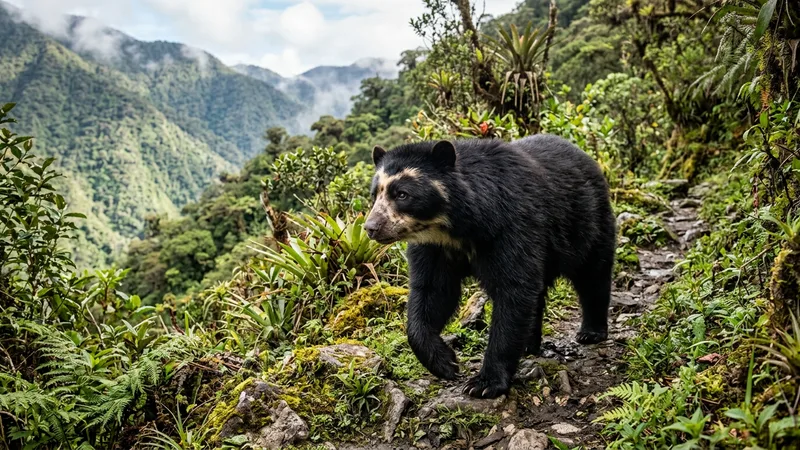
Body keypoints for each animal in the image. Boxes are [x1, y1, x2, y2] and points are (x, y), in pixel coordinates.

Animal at [363, 134, 616, 399]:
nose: (371, 227)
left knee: (593, 275)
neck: (457, 228)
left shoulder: (512, 226)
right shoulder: (434, 247)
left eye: (402, 194)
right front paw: (445, 363)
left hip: (586, 224)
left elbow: (513, 289)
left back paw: (591, 332)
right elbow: (432, 292)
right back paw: (529, 343)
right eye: (375, 195)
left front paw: (484, 383)